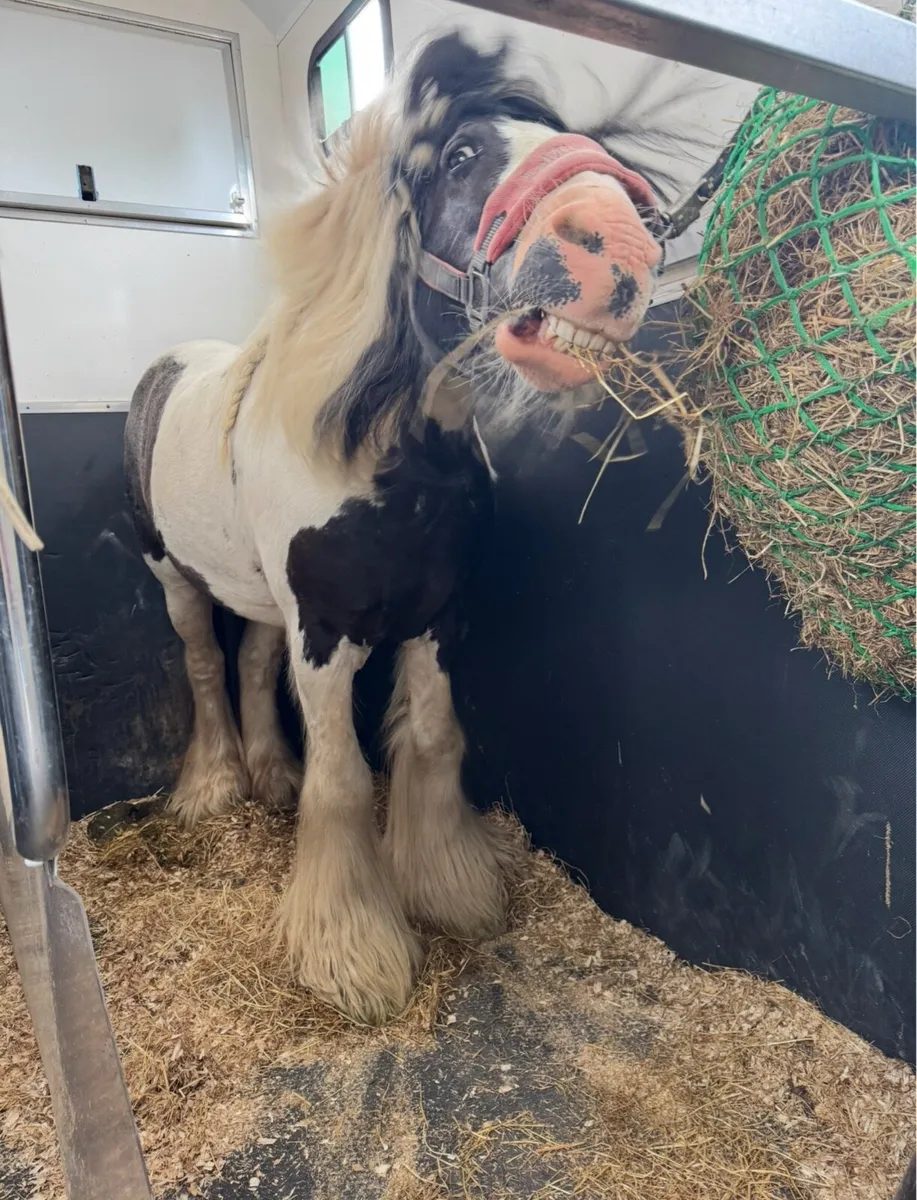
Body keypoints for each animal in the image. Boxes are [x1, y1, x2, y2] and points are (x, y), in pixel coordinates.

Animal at [124, 32, 664, 1024]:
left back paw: (268, 777)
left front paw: (449, 889)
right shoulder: (327, 636)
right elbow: (343, 781)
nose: (618, 248)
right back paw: (215, 785)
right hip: (175, 578)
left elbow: (434, 741)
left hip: (262, 597)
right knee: (204, 663)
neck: (389, 457)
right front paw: (352, 954)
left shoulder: (438, 620)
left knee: (248, 664)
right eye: (458, 154)